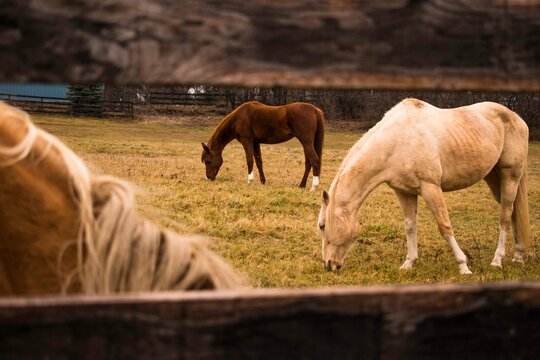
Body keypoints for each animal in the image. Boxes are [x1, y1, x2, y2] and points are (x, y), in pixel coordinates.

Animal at [318, 98, 528, 276]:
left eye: (322, 226)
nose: (328, 265)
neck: (396, 141)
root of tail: (516, 118)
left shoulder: (430, 188)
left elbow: (445, 226)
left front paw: (463, 266)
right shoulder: (404, 192)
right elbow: (410, 226)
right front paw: (409, 262)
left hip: (510, 177)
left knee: (505, 216)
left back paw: (497, 261)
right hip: (494, 179)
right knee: (513, 213)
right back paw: (518, 257)